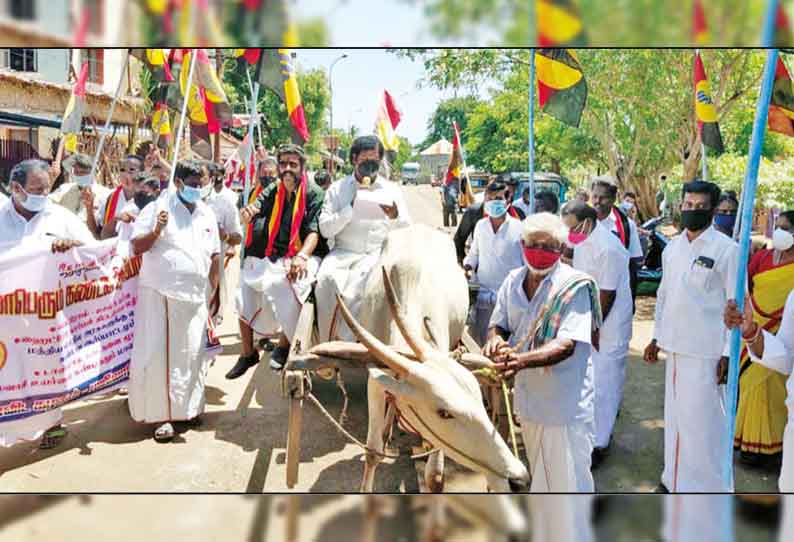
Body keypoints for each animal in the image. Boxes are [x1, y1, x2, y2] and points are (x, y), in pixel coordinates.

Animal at [310, 223, 524, 496]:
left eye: (478, 396)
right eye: (443, 413)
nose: (519, 479)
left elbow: (435, 477)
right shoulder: (376, 381)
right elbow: (373, 453)